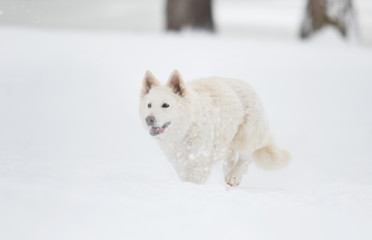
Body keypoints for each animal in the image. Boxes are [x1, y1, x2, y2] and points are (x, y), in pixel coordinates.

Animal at [140, 69, 290, 186]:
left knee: (246, 158)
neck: (187, 128)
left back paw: (234, 176)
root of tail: (250, 88)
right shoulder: (180, 162)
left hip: (244, 138)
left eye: (165, 105)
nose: (149, 119)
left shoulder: (199, 161)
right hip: (226, 142)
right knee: (231, 159)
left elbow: (194, 180)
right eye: (149, 105)